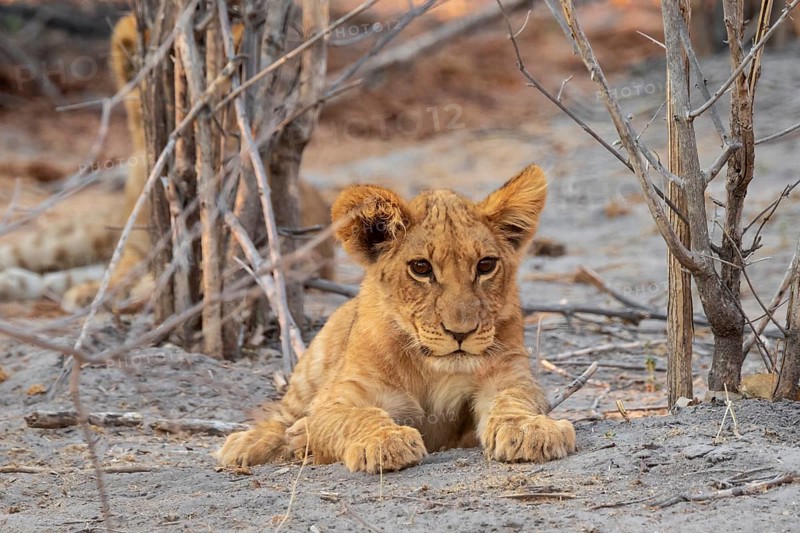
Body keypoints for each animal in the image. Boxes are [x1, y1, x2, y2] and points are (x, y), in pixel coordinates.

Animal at [215, 164, 576, 473]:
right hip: (311, 370)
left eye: (486, 265)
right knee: (282, 416)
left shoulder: (508, 375)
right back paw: (253, 442)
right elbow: (357, 416)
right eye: (421, 268)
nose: (461, 333)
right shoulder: (337, 398)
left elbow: (514, 400)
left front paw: (530, 431)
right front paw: (384, 441)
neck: (431, 369)